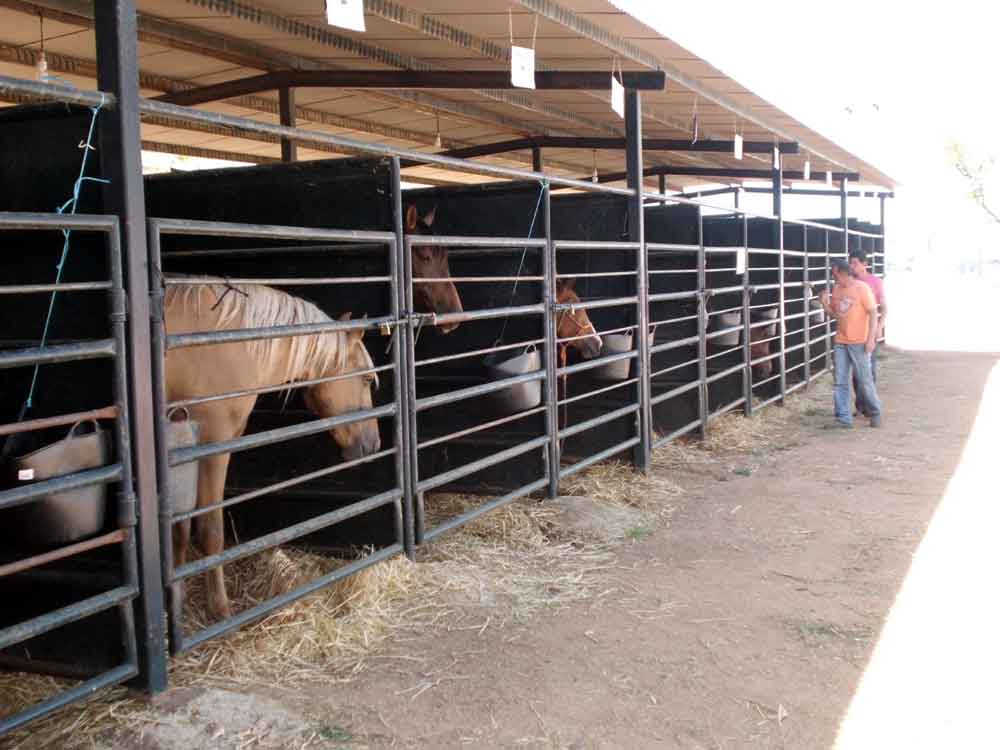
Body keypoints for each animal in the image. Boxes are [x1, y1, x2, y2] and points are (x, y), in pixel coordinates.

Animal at [164, 280, 382, 620]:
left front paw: (179, 599)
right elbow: (211, 531)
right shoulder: (213, 445)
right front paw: (221, 610)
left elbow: (181, 527)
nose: (374, 445)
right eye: (368, 378)